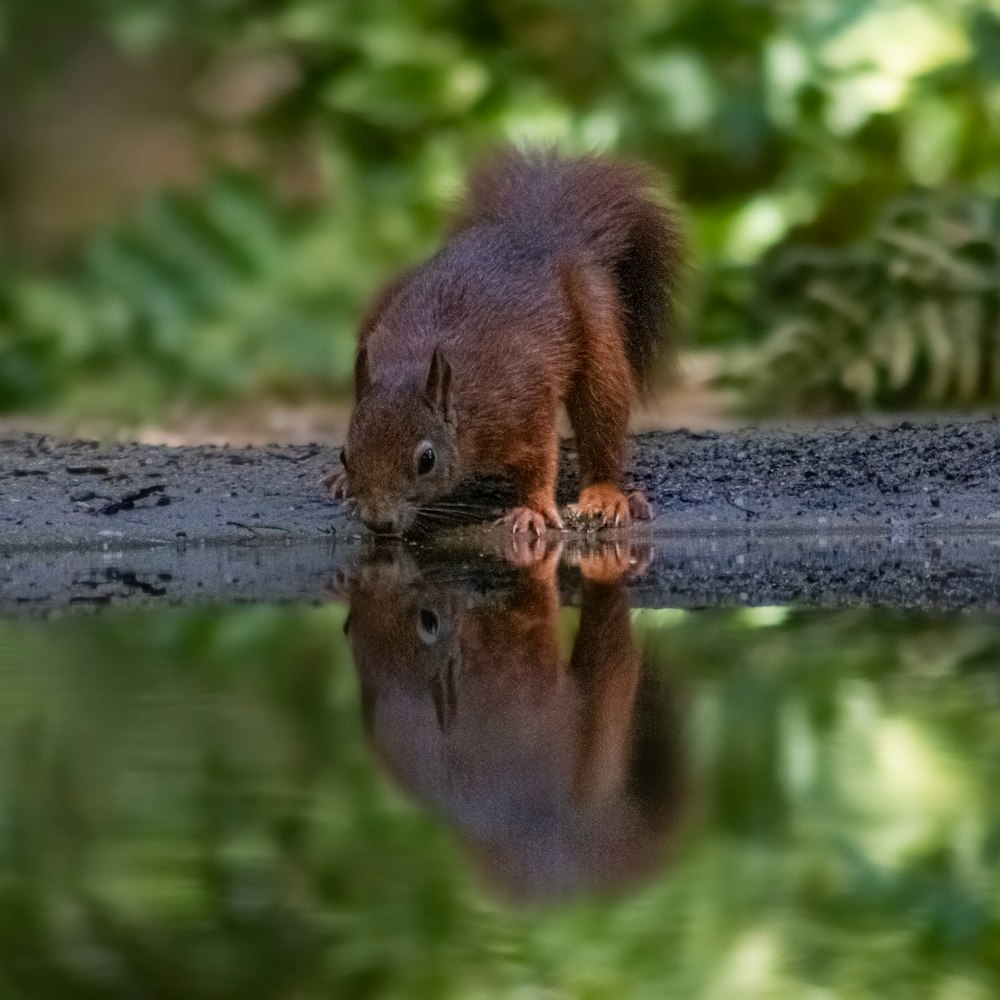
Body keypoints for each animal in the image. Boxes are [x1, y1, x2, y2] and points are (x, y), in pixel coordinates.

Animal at [324, 147, 684, 536]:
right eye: (345, 454)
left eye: (427, 460)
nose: (380, 523)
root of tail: (543, 230)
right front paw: (343, 479)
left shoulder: (522, 405)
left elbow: (538, 459)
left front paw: (533, 510)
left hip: (598, 334)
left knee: (602, 420)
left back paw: (604, 494)